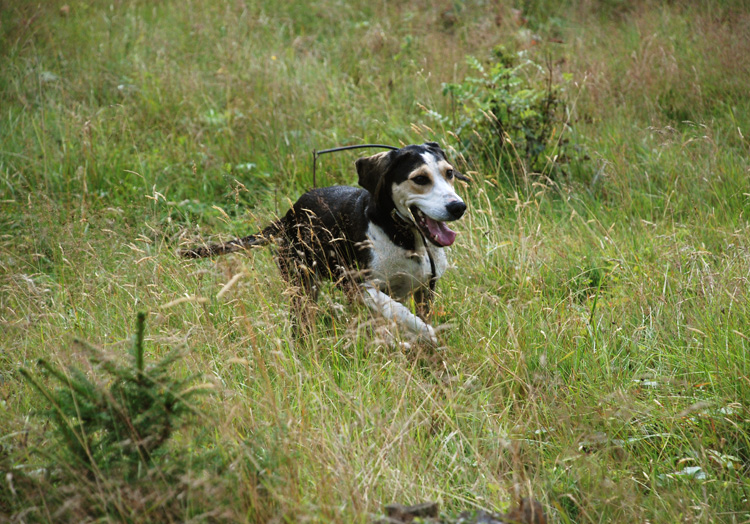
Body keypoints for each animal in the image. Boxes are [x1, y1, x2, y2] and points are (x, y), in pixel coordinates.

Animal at [182, 141, 468, 346]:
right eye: (420, 179)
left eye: (449, 173)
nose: (458, 207)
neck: (404, 237)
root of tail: (289, 215)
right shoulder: (357, 285)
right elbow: (396, 310)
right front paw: (423, 332)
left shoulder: (426, 289)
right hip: (302, 286)